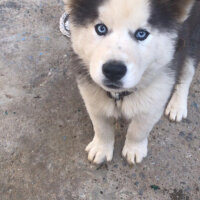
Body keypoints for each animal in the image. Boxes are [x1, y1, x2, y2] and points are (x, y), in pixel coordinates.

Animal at [63, 0, 200, 165]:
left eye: (141, 34)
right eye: (101, 28)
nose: (113, 70)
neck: (118, 95)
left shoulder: (156, 96)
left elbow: (138, 129)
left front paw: (134, 149)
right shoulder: (91, 94)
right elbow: (100, 125)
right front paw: (101, 147)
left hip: (192, 39)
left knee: (187, 73)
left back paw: (177, 105)